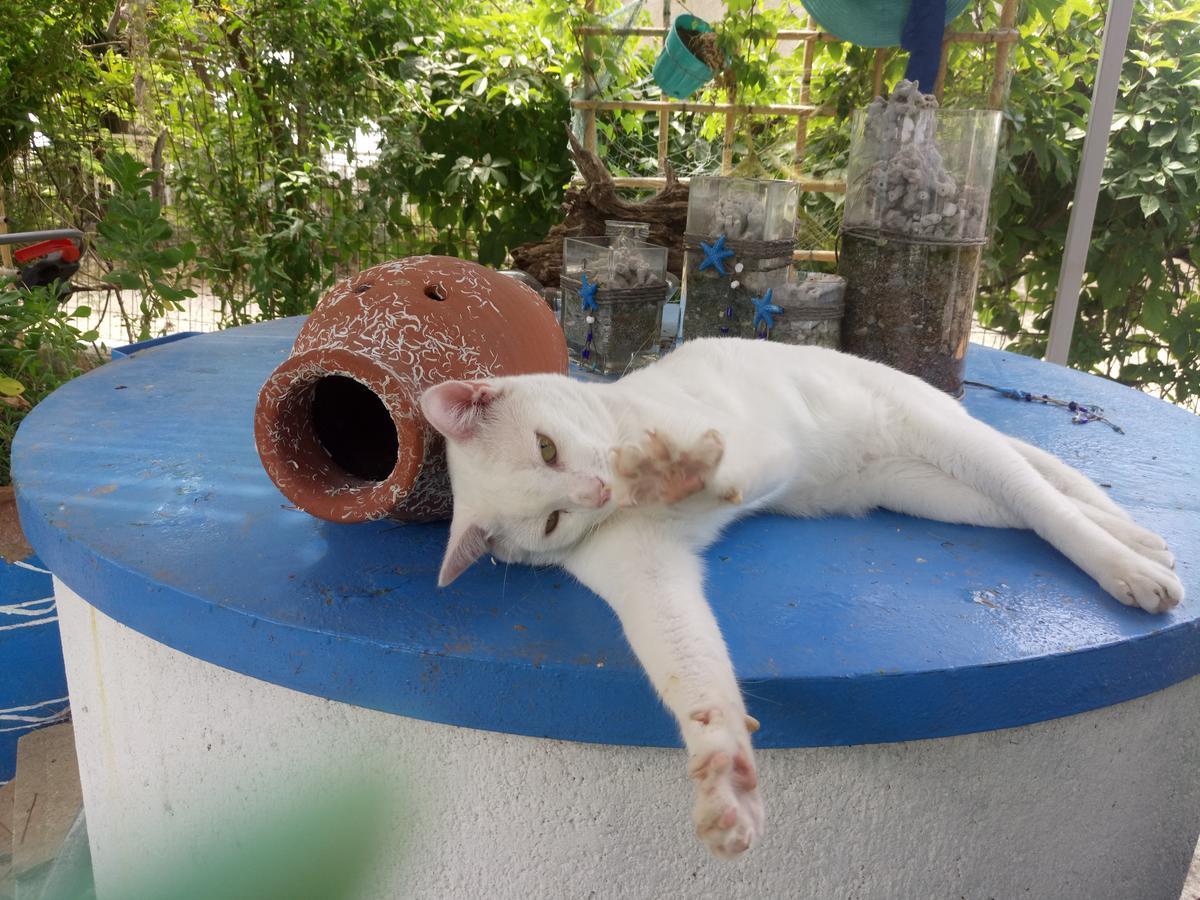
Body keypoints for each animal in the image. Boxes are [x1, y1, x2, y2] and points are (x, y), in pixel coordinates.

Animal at [420, 338, 1180, 859]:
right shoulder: (649, 578)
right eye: (551, 521)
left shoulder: (746, 446)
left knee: (1045, 493)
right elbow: (691, 671)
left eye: (547, 448)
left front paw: (666, 472)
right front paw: (723, 773)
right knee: (1031, 503)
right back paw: (1141, 543)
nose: (598, 493)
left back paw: (1133, 564)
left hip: (945, 438)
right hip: (938, 492)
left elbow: (704, 468)